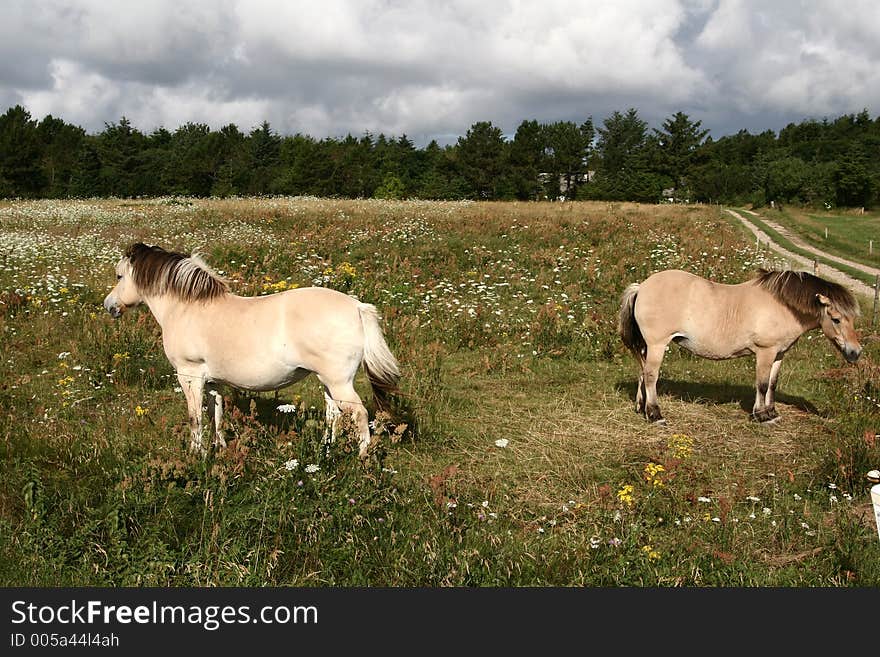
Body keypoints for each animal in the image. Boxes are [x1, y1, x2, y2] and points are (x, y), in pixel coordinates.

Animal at [104, 241, 402, 456]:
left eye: (119, 276)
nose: (109, 306)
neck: (188, 308)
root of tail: (357, 306)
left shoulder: (189, 376)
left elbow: (195, 419)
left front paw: (196, 455)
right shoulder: (212, 381)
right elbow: (216, 414)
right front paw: (220, 449)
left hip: (339, 383)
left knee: (359, 415)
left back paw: (362, 459)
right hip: (328, 382)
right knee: (334, 416)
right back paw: (326, 453)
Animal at [620, 270, 860, 422]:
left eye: (853, 319)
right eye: (836, 319)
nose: (855, 352)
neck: (781, 306)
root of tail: (642, 287)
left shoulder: (779, 354)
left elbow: (772, 384)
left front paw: (772, 413)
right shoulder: (765, 353)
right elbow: (762, 384)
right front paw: (761, 416)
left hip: (647, 347)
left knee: (643, 373)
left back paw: (641, 408)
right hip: (657, 345)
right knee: (651, 376)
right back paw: (655, 415)